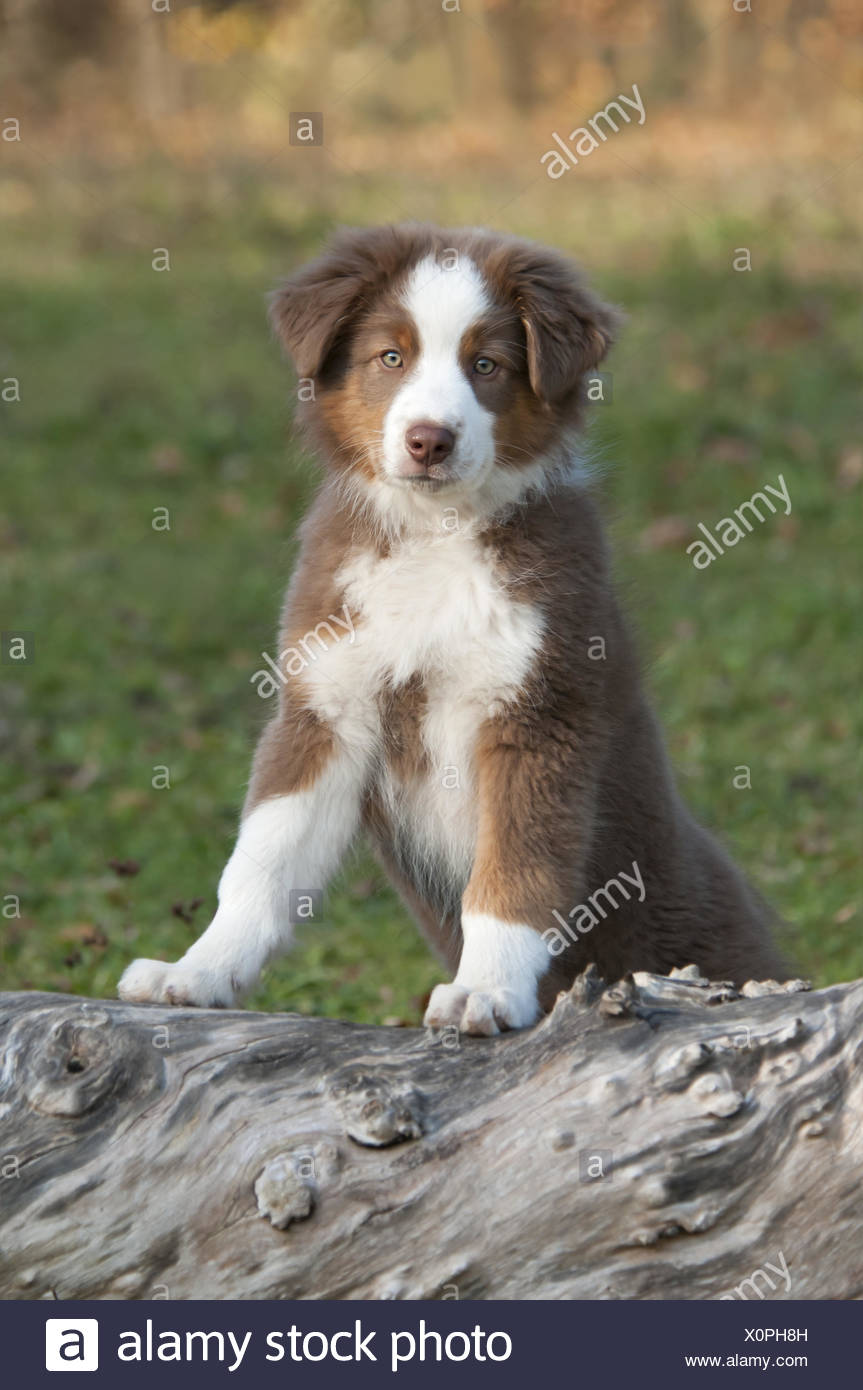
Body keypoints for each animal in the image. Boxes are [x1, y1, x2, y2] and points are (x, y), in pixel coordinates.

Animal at [118, 222, 783, 1034]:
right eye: (390, 357)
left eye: (486, 365)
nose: (429, 440)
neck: (435, 535)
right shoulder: (325, 707)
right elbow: (260, 863)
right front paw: (197, 970)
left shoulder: (538, 717)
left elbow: (513, 872)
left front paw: (485, 990)